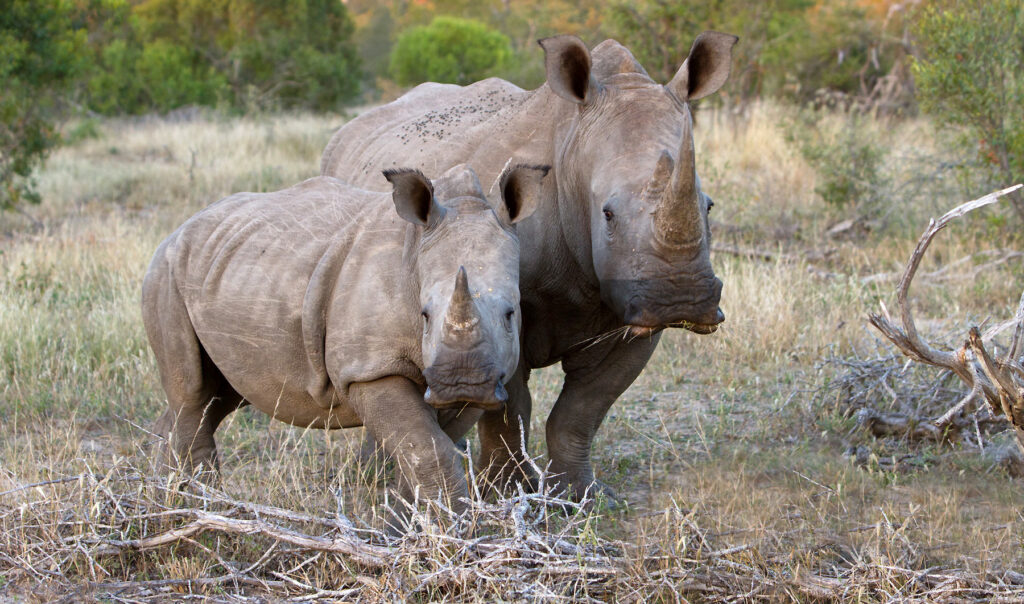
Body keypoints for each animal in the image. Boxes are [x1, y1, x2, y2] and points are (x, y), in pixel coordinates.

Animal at [142, 163, 548, 507]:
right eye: (425, 315)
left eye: (511, 314)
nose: (462, 383)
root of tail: (178, 229)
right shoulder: (366, 370)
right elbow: (427, 450)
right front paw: (452, 535)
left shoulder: (486, 376)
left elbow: (421, 453)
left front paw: (407, 529)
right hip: (165, 272)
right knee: (193, 395)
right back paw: (201, 509)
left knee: (219, 394)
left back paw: (169, 499)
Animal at [320, 32, 737, 500]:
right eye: (607, 214)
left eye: (709, 206)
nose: (680, 300)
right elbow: (512, 410)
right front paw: (505, 492)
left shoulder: (631, 307)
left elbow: (583, 409)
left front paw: (578, 497)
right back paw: (378, 474)